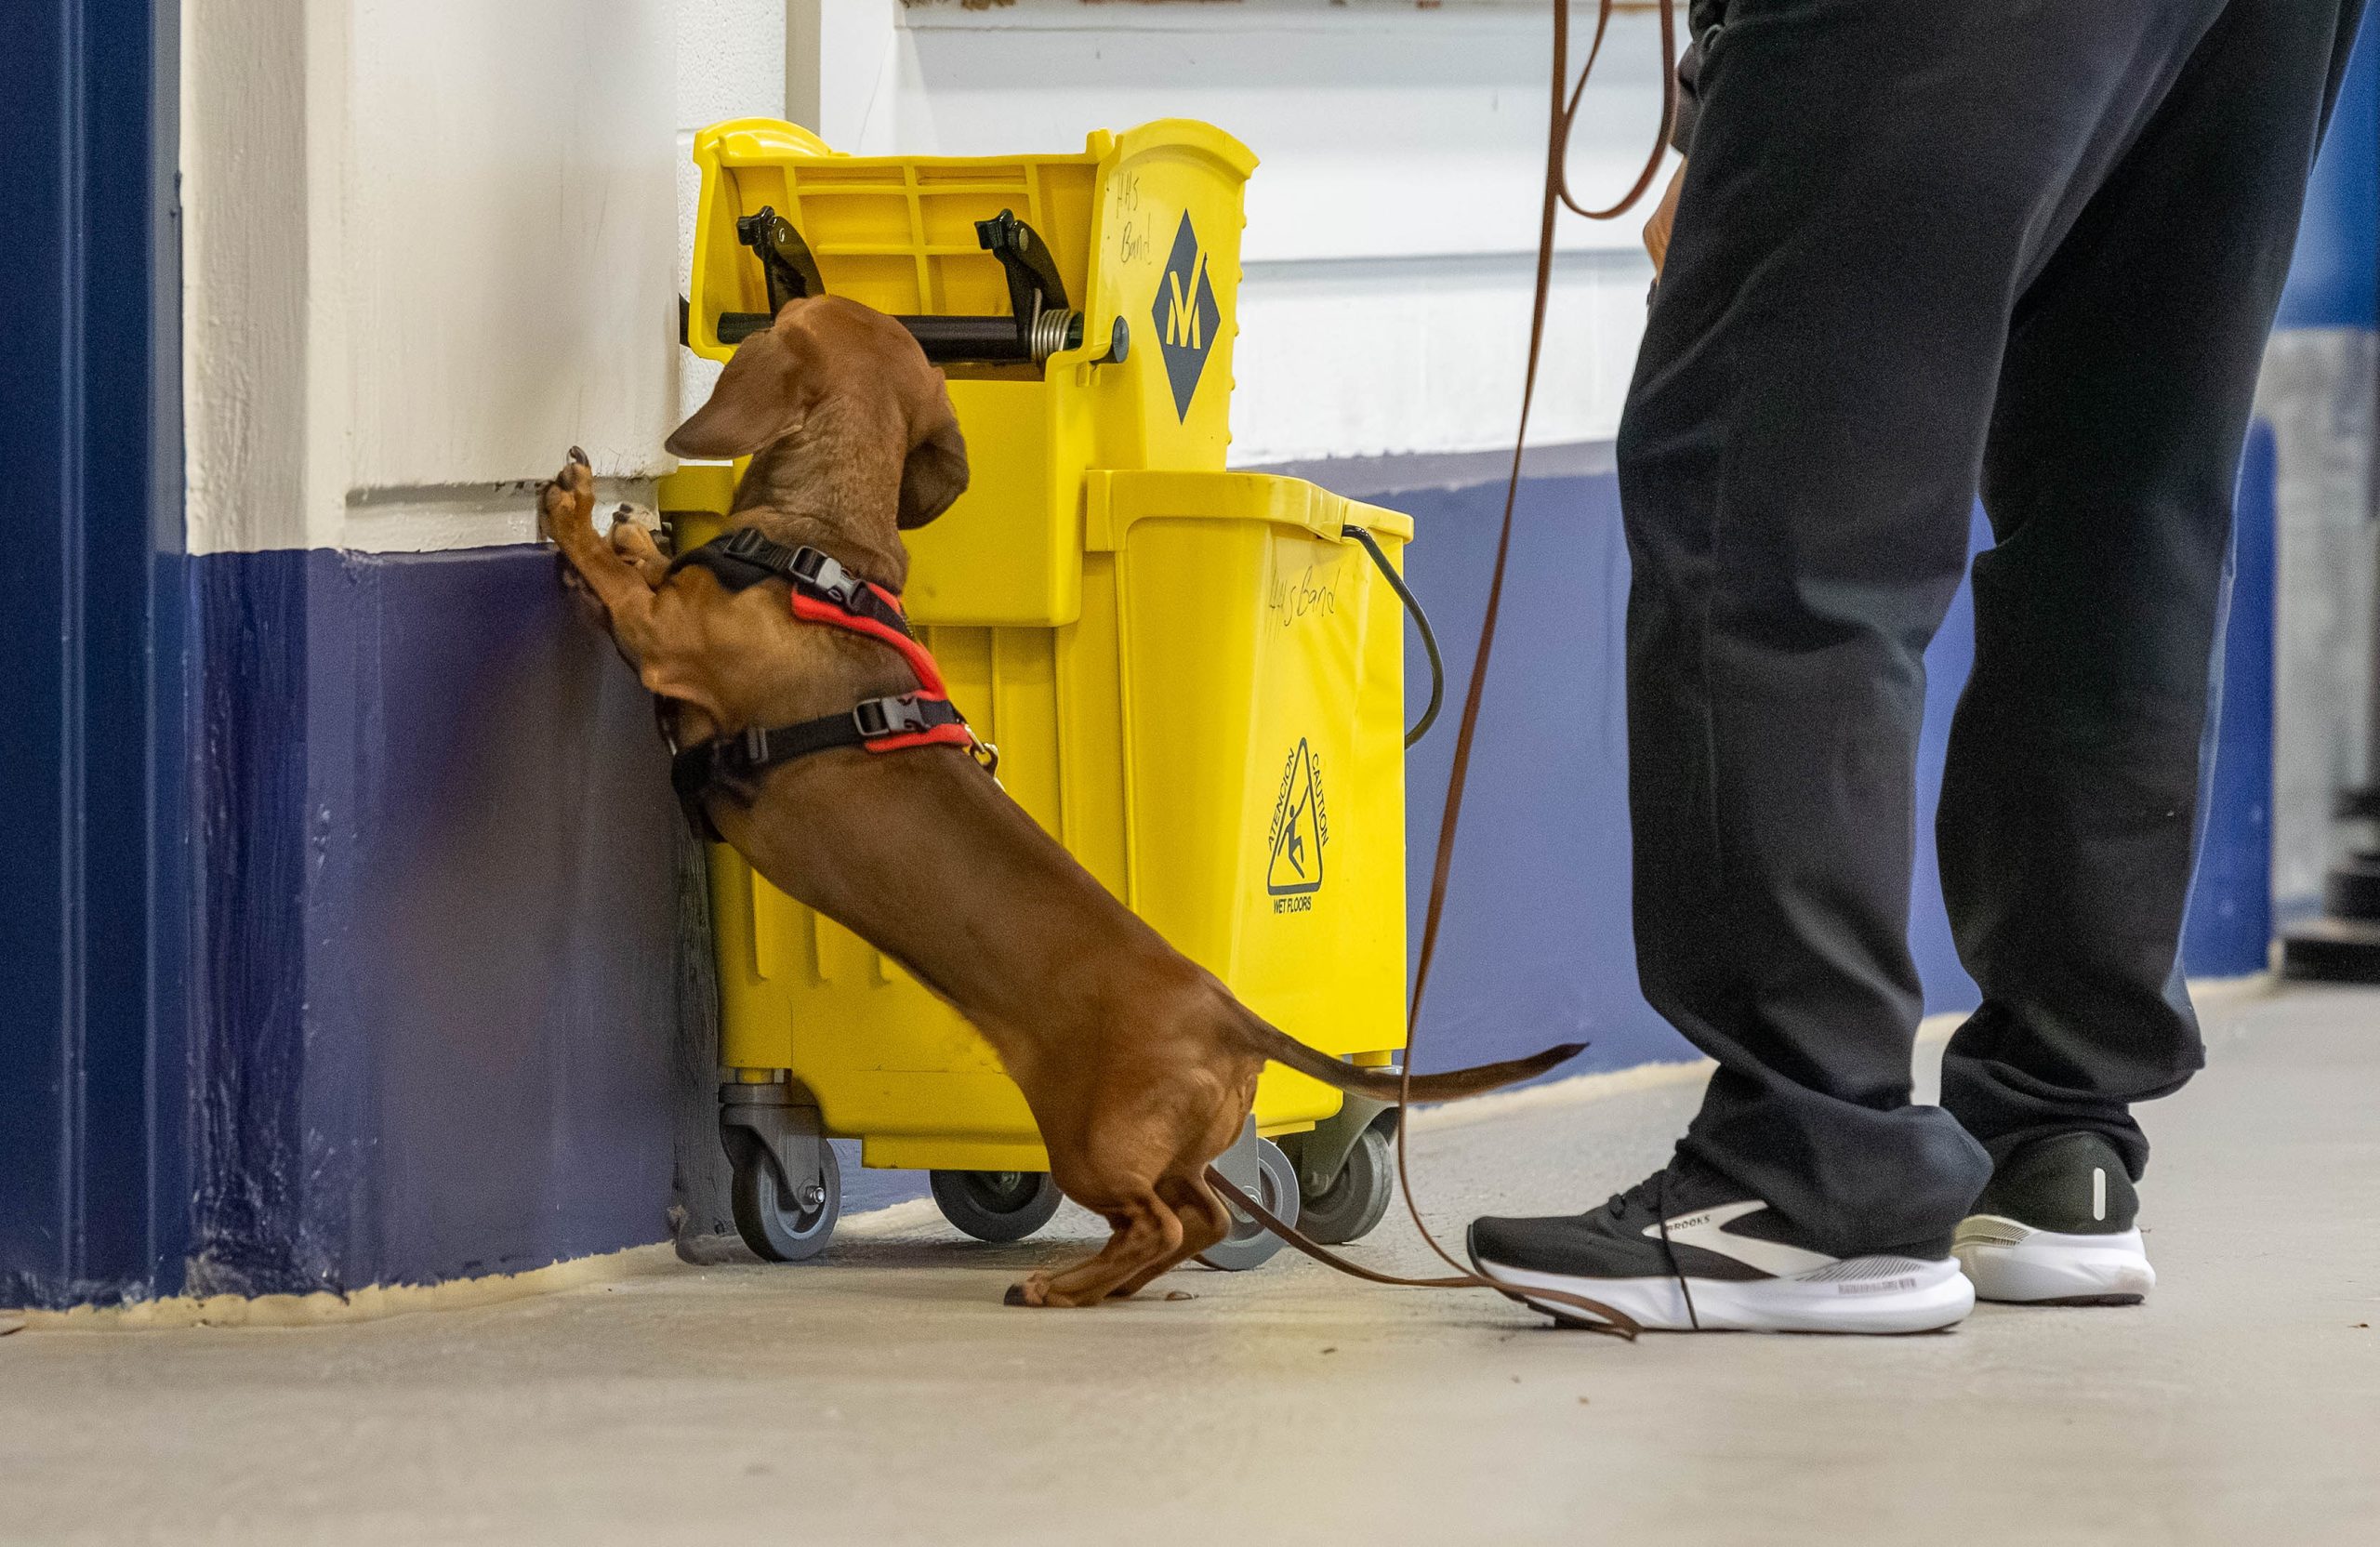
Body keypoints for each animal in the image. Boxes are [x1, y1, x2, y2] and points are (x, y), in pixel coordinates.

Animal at [540, 294, 1581, 1306]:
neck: (818, 545)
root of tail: (1233, 1013)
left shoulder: (666, 640)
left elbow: (612, 581)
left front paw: (580, 509)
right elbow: (630, 572)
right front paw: (629, 531)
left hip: (1089, 1138)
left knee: (1173, 1222)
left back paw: (1061, 1284)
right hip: (1157, 1146)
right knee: (1194, 1212)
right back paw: (1100, 1280)